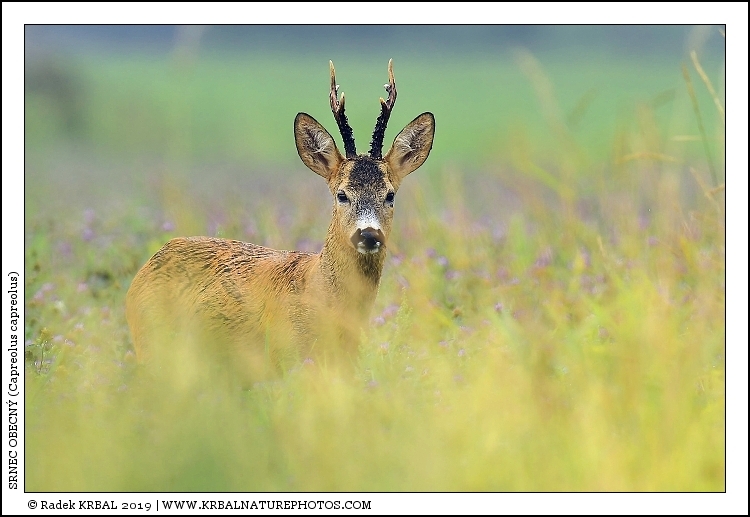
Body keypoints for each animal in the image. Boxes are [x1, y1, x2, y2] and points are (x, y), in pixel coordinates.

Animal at [125, 60, 435, 385]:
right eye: (341, 195)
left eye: (390, 195)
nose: (369, 235)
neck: (322, 293)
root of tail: (146, 267)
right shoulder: (288, 357)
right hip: (150, 344)